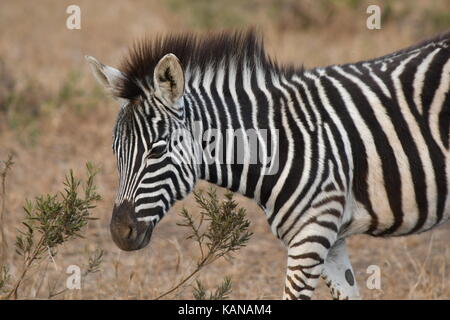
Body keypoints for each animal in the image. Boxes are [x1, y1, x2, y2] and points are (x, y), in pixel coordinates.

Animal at [85, 30, 450, 300]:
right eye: (116, 152)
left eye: (157, 151)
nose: (119, 233)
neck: (280, 141)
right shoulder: (331, 239)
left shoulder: (311, 233)